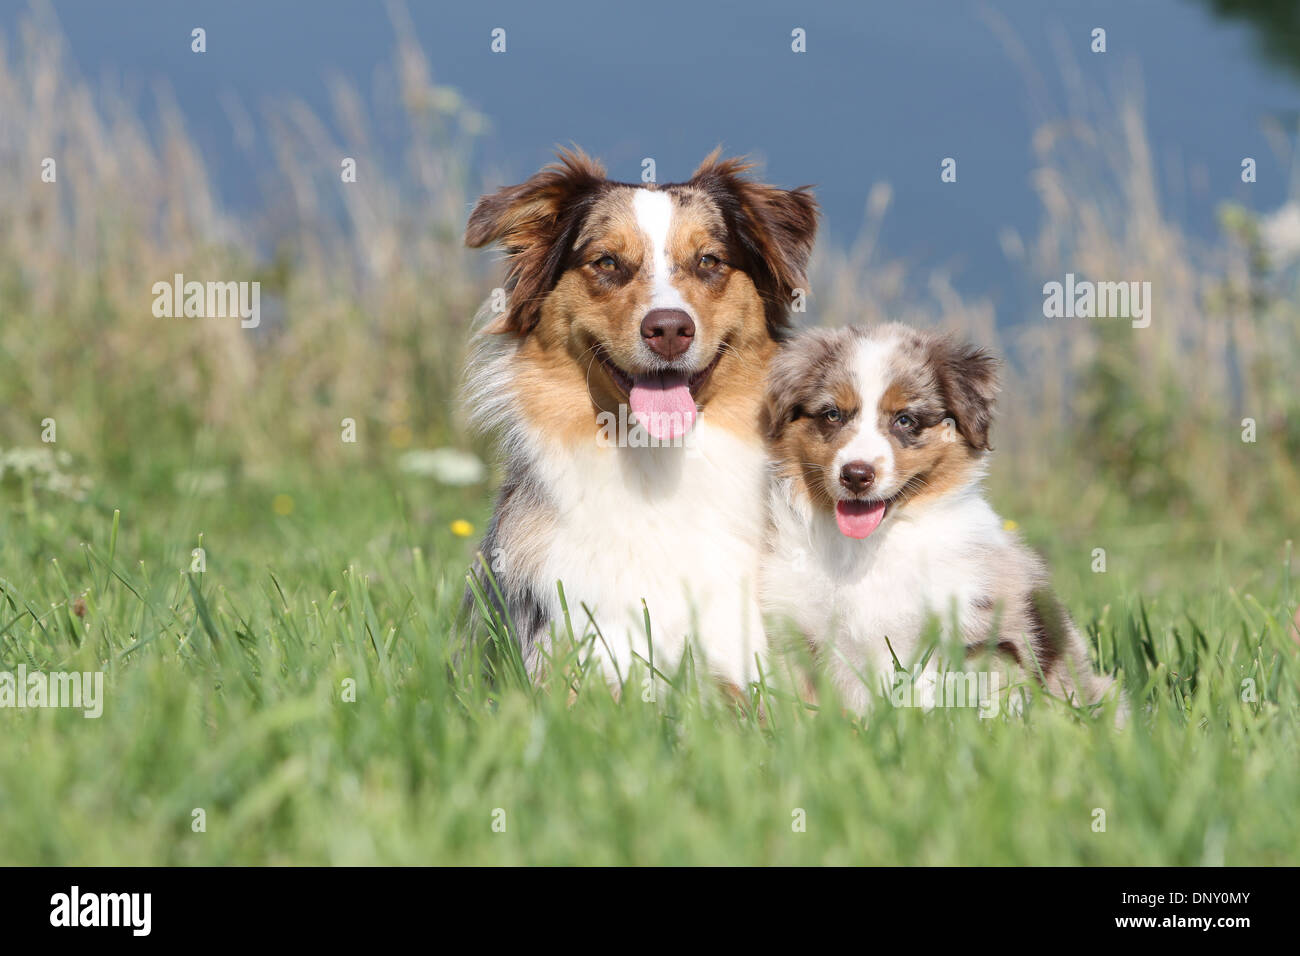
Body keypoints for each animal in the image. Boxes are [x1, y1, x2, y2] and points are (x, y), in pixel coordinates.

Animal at [759, 325, 1118, 712]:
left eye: (905, 420)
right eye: (832, 415)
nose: (856, 475)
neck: (870, 548)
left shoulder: (964, 628)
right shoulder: (798, 631)